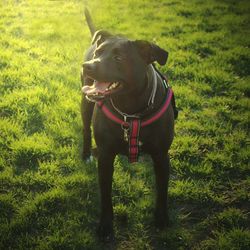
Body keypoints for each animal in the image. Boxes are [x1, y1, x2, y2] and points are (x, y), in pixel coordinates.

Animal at [81, 8, 177, 241]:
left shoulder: (161, 156)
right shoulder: (106, 157)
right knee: (86, 130)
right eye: (99, 53)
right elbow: (106, 196)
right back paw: (86, 154)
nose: (87, 66)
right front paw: (106, 226)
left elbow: (162, 190)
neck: (131, 110)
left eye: (118, 57)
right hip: (85, 104)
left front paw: (161, 219)